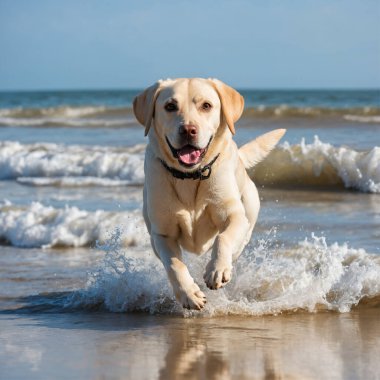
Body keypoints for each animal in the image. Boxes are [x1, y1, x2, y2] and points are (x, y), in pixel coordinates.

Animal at [134, 78, 284, 310]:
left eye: (206, 106)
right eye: (170, 106)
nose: (188, 130)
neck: (189, 176)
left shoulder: (233, 216)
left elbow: (223, 238)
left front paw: (217, 269)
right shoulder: (161, 234)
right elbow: (174, 265)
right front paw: (189, 294)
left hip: (248, 216)